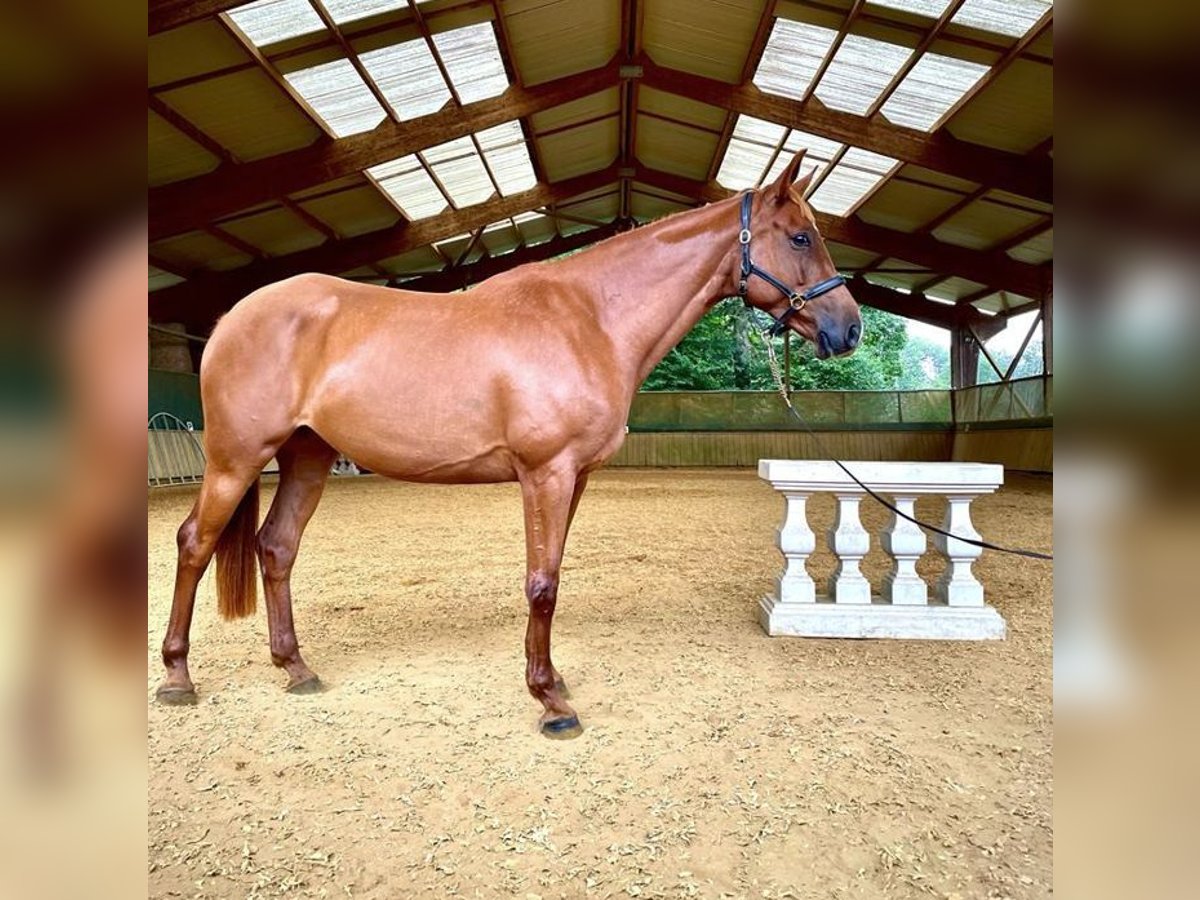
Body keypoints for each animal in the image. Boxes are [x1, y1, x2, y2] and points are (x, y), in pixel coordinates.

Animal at [155, 149, 862, 739]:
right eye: (801, 237)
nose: (848, 329)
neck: (590, 319)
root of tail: (230, 318)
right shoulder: (545, 473)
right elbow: (541, 583)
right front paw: (550, 702)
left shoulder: (573, 477)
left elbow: (553, 577)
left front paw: (550, 679)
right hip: (235, 460)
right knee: (195, 544)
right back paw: (176, 677)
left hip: (307, 456)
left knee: (276, 547)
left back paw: (296, 668)